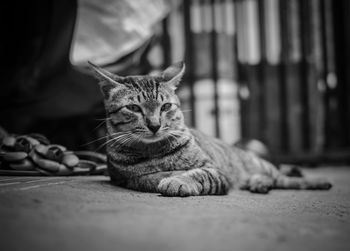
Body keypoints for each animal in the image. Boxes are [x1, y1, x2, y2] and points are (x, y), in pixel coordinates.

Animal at [89, 60, 332, 196]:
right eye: (133, 108)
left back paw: (316, 181)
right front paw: (170, 176)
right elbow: (151, 176)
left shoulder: (215, 170)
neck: (155, 150)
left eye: (165, 106)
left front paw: (179, 180)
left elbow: (199, 174)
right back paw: (258, 183)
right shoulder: (126, 177)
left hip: (258, 163)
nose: (155, 125)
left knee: (280, 177)